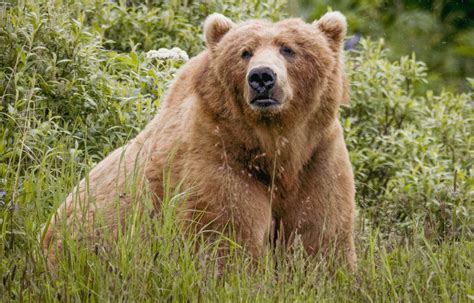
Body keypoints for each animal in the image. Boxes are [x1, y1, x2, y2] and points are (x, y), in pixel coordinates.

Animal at [43, 11, 356, 268]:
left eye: (288, 48)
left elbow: (321, 237)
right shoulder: (219, 153)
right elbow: (225, 237)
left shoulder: (317, 157)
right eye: (245, 52)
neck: (277, 146)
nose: (262, 77)